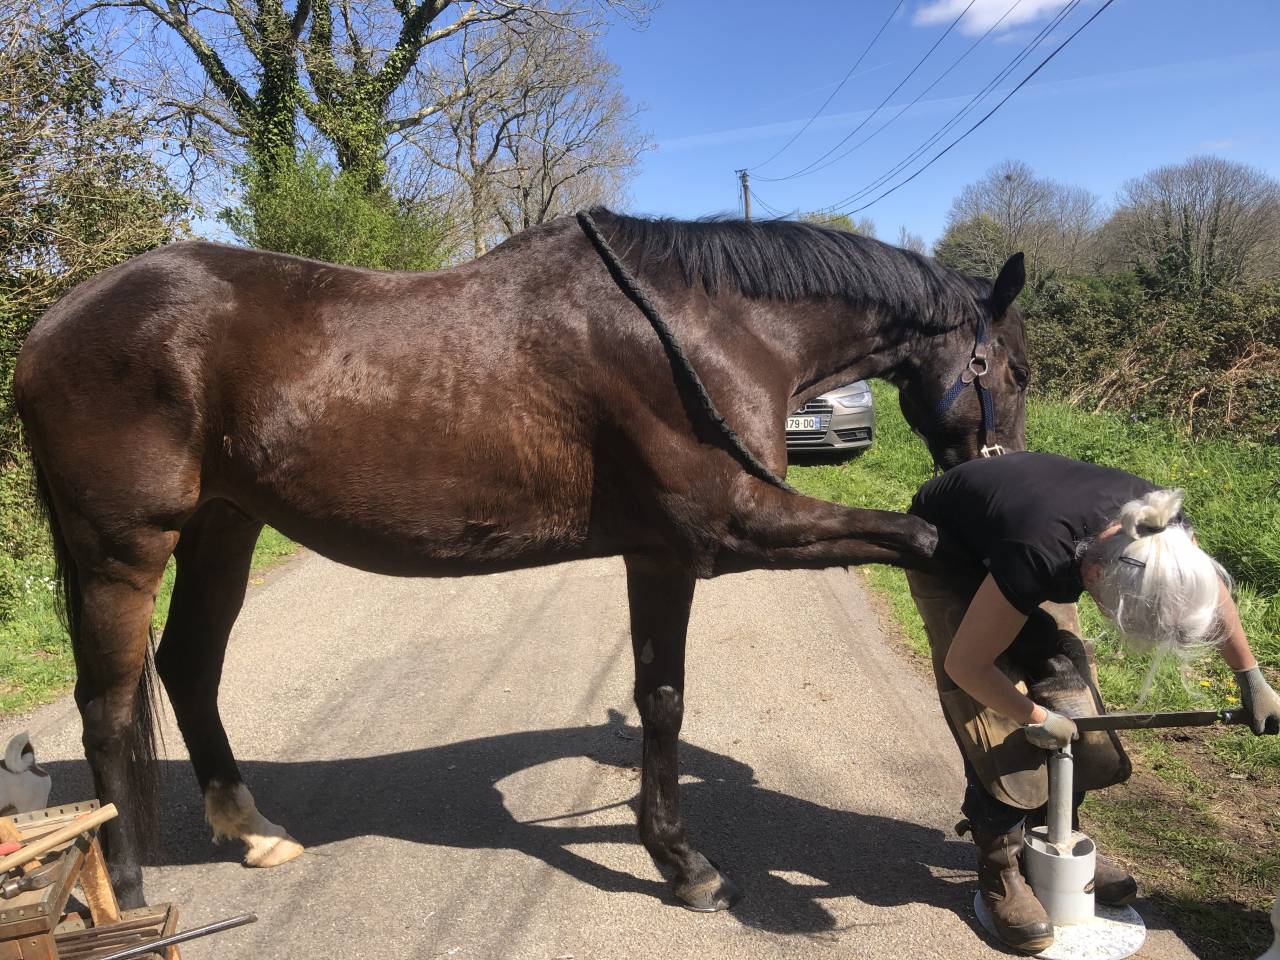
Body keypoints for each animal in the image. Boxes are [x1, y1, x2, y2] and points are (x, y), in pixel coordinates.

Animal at [14, 208, 1029, 911]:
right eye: (1015, 372)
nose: (1000, 466)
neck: (703, 327)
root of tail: (50, 327)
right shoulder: (731, 532)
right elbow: (923, 541)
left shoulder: (658, 556)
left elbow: (661, 696)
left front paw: (675, 857)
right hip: (123, 551)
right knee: (107, 706)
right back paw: (129, 892)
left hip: (223, 528)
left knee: (190, 668)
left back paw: (252, 830)